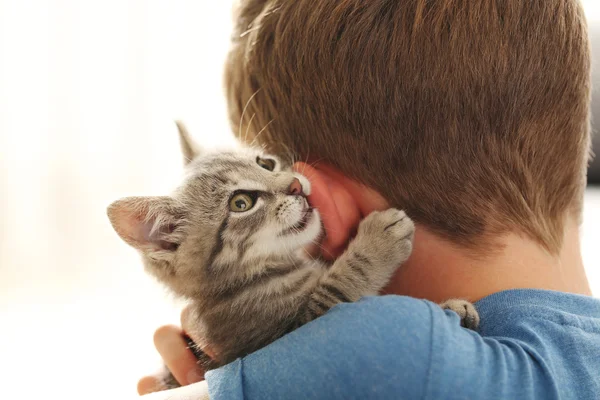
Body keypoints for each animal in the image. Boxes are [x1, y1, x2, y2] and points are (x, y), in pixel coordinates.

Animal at [106, 122, 478, 384]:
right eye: (241, 203)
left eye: (266, 163)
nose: (296, 184)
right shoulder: (284, 334)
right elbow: (336, 289)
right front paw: (376, 243)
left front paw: (452, 308)